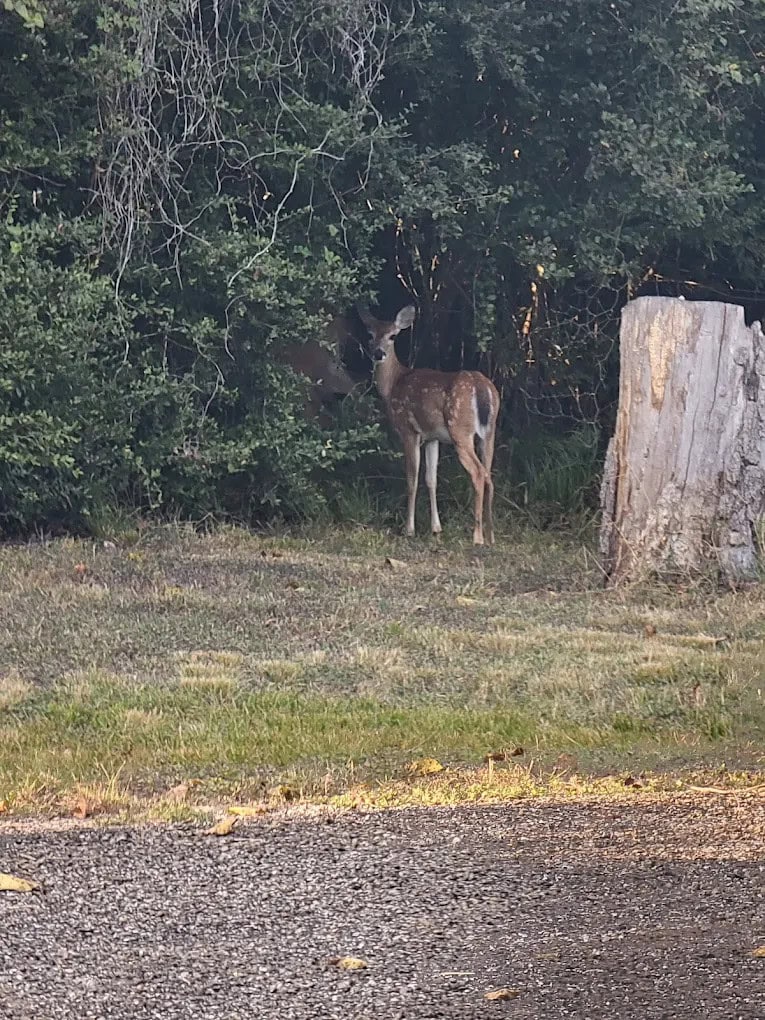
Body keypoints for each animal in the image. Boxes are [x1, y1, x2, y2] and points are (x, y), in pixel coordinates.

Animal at [359, 305, 500, 545]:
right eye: (370, 334)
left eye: (392, 336)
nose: (378, 353)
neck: (394, 384)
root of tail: (482, 389)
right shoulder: (433, 437)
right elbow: (431, 479)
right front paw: (436, 528)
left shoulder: (409, 431)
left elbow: (412, 479)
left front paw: (409, 529)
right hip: (489, 432)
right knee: (489, 474)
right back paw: (491, 535)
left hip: (460, 430)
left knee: (478, 473)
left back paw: (477, 536)